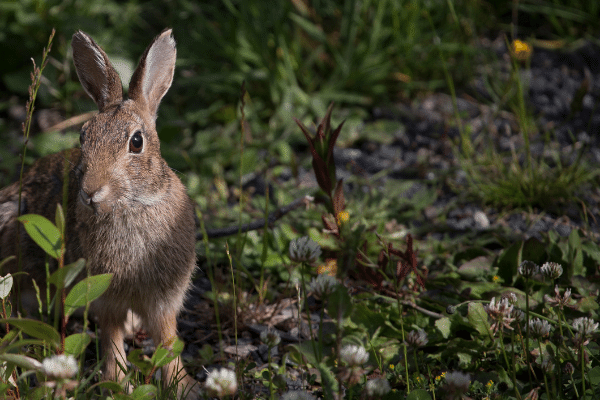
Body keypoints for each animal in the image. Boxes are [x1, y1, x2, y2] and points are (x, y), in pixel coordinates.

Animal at [0, 29, 202, 398]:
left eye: (136, 142)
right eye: (83, 137)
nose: (91, 190)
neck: (131, 205)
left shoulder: (165, 298)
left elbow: (167, 339)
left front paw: (183, 386)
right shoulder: (103, 294)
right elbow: (110, 336)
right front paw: (115, 383)